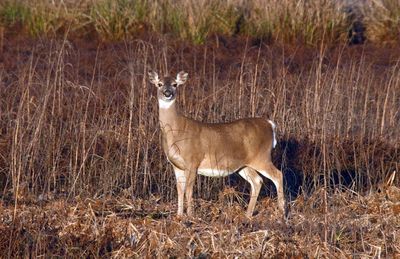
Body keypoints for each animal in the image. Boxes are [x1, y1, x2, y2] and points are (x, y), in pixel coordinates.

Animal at [148, 70, 286, 218]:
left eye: (175, 84)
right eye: (159, 84)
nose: (167, 93)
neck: (176, 131)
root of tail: (270, 125)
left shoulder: (193, 160)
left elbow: (189, 190)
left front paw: (190, 216)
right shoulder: (176, 165)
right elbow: (180, 190)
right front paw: (179, 216)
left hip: (262, 157)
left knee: (278, 175)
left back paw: (282, 212)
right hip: (244, 165)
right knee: (257, 181)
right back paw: (248, 214)